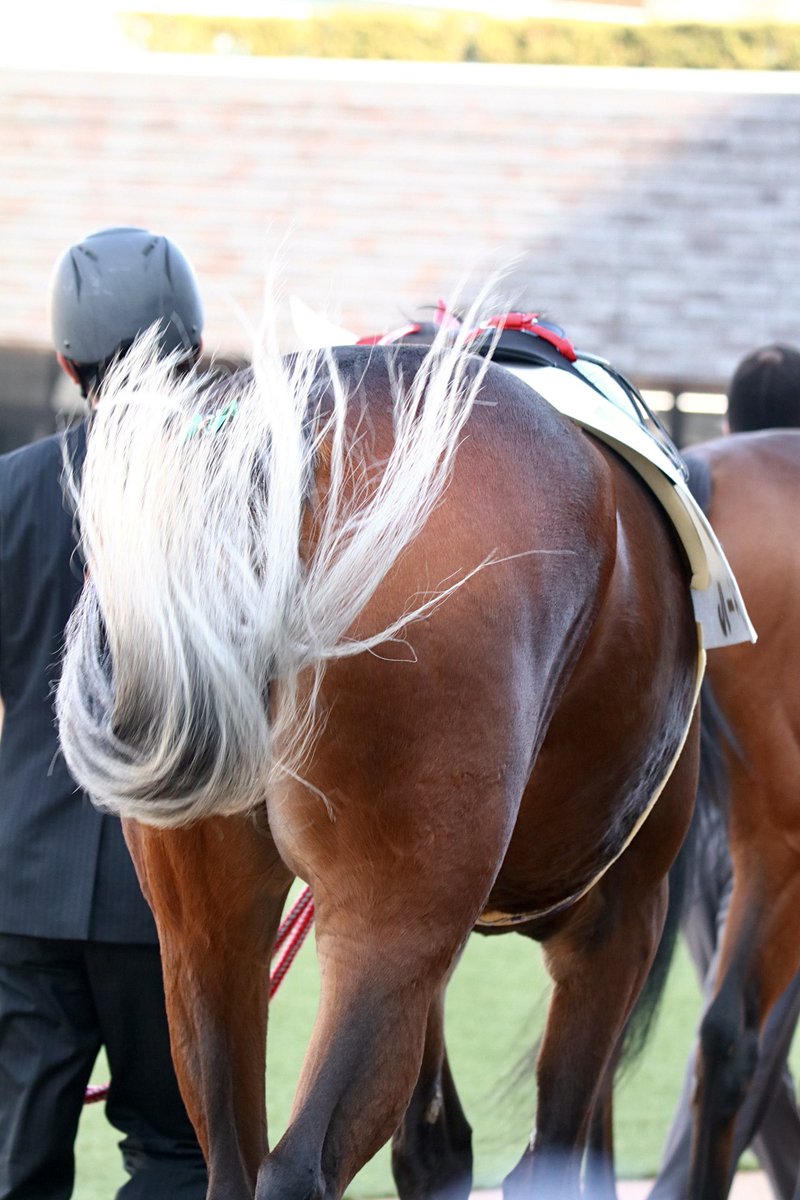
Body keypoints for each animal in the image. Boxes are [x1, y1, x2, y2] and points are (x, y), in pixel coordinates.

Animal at [55, 323, 702, 1200]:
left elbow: (436, 1146)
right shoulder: (619, 919)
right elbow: (553, 1150)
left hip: (206, 932)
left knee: (232, 1156)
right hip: (392, 916)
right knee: (300, 1164)